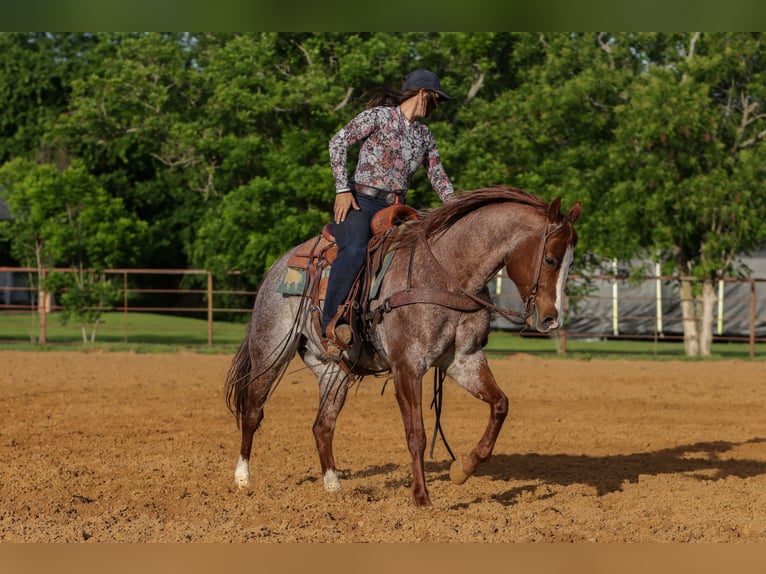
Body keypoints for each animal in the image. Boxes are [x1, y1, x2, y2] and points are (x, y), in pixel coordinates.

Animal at [224, 186, 582, 507]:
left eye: (571, 264)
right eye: (550, 259)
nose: (551, 319)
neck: (447, 274)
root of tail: (278, 267)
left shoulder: (463, 360)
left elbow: (500, 405)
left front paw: (462, 469)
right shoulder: (407, 366)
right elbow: (417, 434)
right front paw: (422, 498)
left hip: (332, 371)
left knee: (322, 426)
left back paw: (334, 487)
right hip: (270, 351)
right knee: (253, 411)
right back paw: (242, 479)